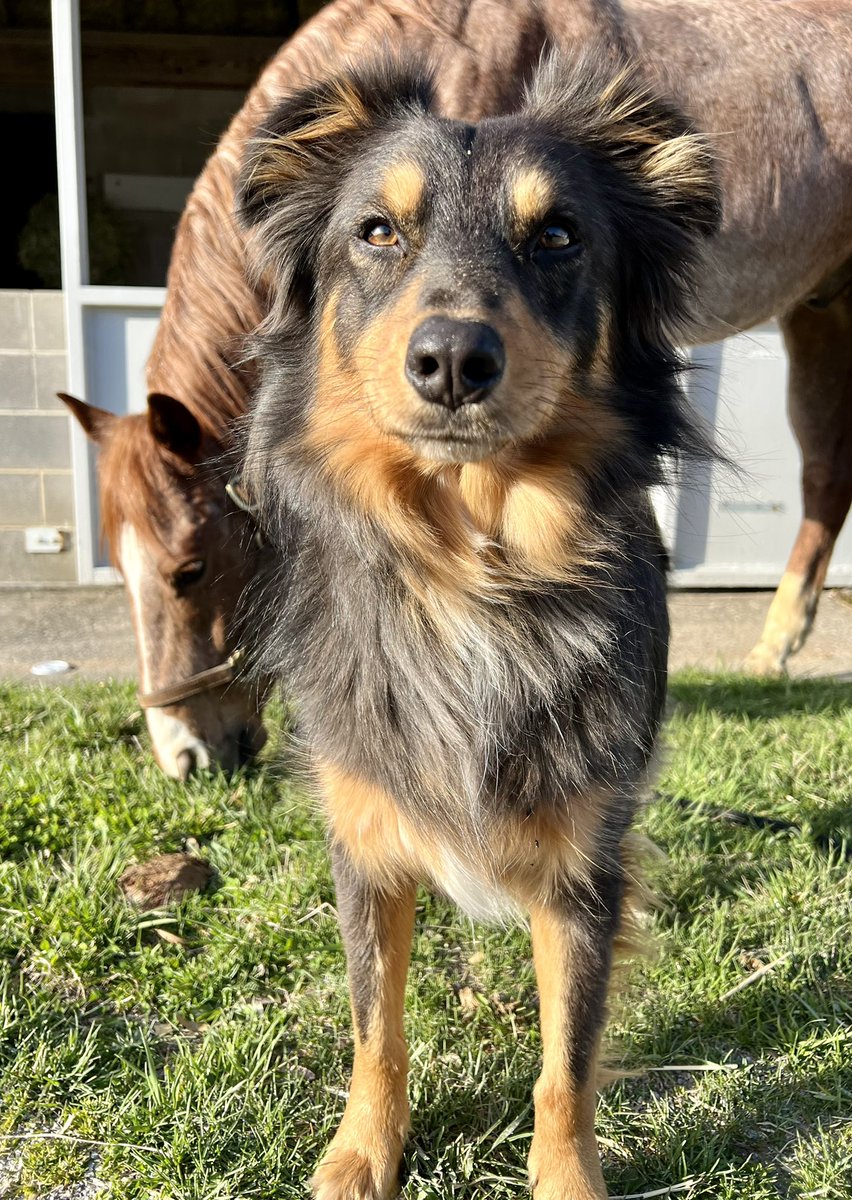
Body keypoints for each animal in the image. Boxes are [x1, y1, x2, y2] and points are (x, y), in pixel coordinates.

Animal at [236, 51, 724, 1195]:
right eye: (377, 231)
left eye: (559, 237)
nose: (454, 360)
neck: (470, 573)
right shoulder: (364, 839)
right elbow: (375, 1026)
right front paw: (361, 1155)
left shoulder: (587, 862)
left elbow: (567, 1062)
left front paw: (567, 1179)